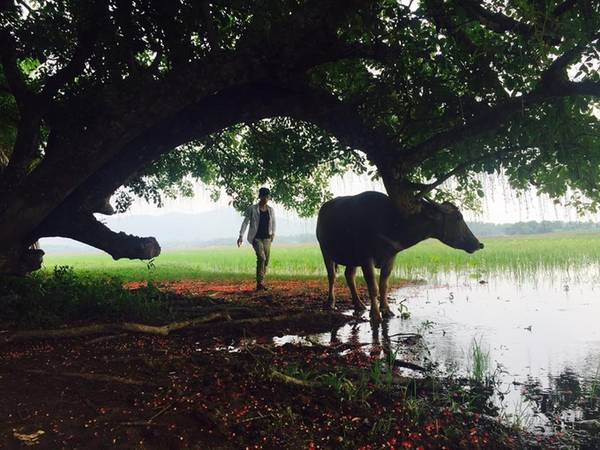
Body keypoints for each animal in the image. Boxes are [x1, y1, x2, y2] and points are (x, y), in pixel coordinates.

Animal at [316, 192, 486, 322]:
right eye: (458, 218)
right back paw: (331, 302)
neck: (392, 223)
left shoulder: (391, 257)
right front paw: (375, 315)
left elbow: (384, 285)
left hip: (351, 258)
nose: (479, 244)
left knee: (349, 275)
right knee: (332, 275)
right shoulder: (366, 258)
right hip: (325, 250)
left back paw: (359, 304)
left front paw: (386, 310)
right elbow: (373, 287)